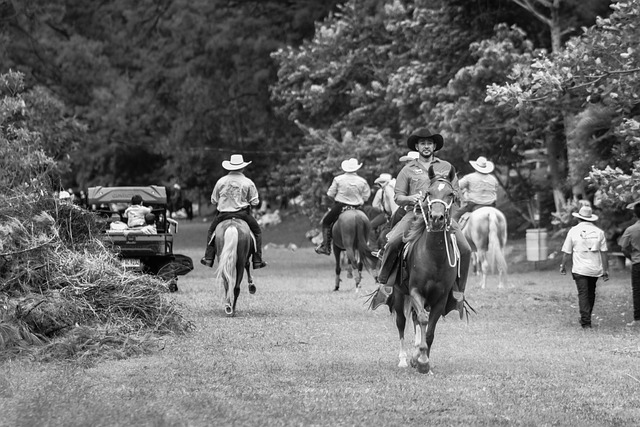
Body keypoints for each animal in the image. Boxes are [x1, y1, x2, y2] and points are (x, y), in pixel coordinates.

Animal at [384, 167, 460, 374]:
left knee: (415, 320)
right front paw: (422, 360)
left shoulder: (440, 299)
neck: (434, 257)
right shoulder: (415, 291)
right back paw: (403, 359)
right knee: (402, 322)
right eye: (428, 193)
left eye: (450, 194)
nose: (436, 218)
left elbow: (430, 331)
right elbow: (424, 320)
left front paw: (422, 361)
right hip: (399, 294)